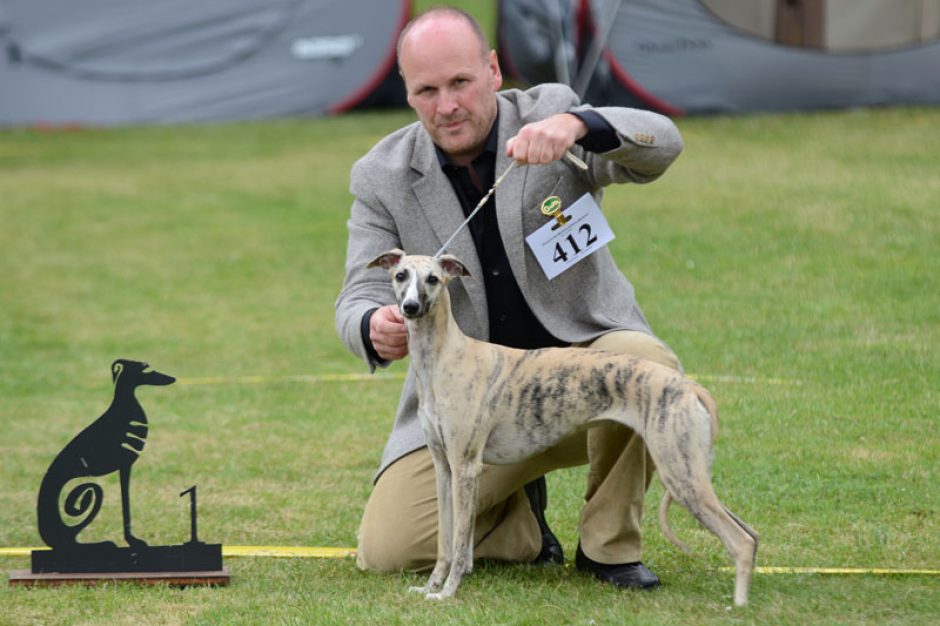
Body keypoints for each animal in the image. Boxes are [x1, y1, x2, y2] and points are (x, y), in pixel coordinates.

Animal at [368, 249, 756, 604]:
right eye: (401, 275)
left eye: (433, 279)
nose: (410, 307)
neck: (446, 357)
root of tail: (689, 386)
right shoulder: (444, 467)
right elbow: (446, 542)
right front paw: (430, 586)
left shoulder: (466, 467)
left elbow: (462, 542)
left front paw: (447, 592)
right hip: (690, 472)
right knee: (749, 533)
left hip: (680, 472)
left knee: (739, 540)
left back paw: (737, 605)